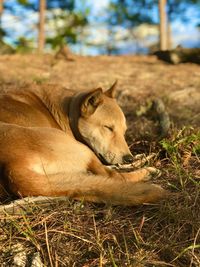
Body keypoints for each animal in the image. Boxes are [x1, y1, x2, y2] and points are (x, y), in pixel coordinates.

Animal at [0, 82, 166, 206]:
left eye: (124, 131)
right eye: (108, 128)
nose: (128, 158)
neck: (67, 109)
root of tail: (12, 167)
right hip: (83, 149)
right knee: (112, 175)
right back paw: (146, 169)